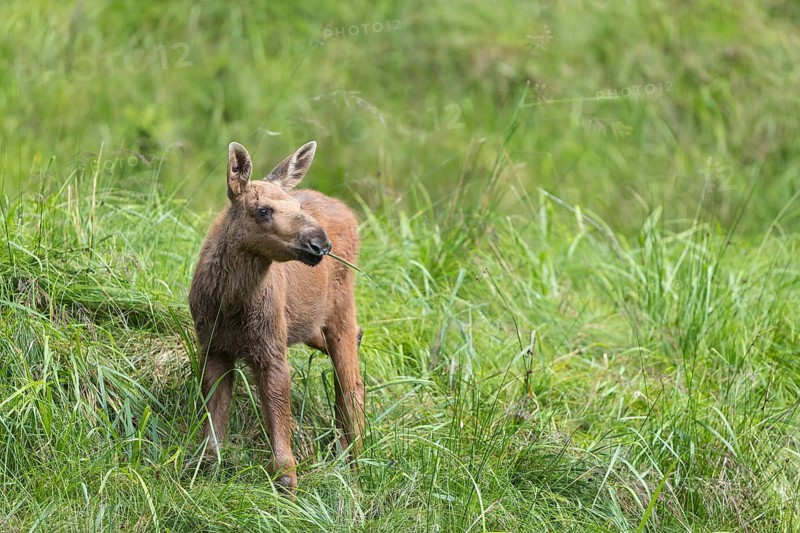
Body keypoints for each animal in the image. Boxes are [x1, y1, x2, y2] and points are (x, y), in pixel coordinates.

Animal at [188, 140, 365, 495]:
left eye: (295, 206)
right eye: (263, 210)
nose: (319, 243)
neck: (231, 306)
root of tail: (351, 215)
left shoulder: (271, 350)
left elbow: (278, 414)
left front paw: (287, 485)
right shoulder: (213, 347)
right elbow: (214, 425)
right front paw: (207, 468)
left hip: (341, 305)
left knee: (352, 383)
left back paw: (356, 463)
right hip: (309, 324)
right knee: (350, 348)